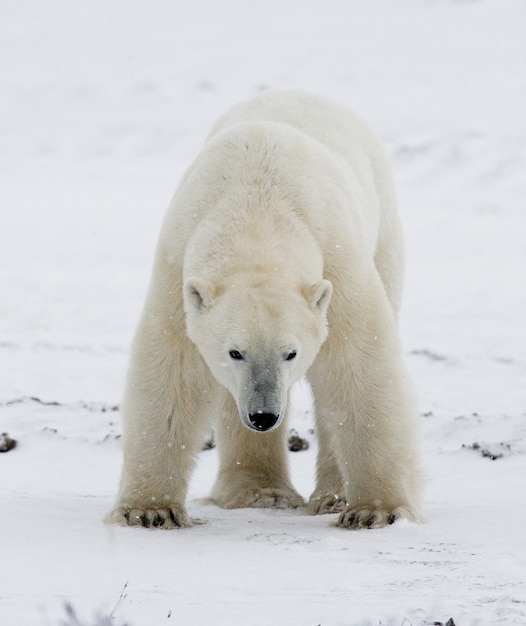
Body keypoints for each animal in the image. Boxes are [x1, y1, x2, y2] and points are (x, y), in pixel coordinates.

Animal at [106, 90, 424, 528]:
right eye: (235, 351)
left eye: (291, 352)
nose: (263, 415)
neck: (256, 210)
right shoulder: (178, 268)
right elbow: (174, 369)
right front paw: (149, 510)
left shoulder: (338, 263)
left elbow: (358, 364)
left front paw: (375, 510)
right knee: (229, 399)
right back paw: (258, 491)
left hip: (385, 235)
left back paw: (332, 496)